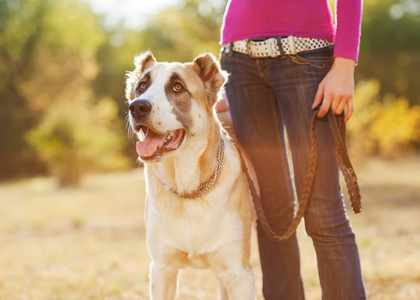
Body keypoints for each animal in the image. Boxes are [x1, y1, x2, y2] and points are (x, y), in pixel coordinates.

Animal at [124, 52, 256, 298]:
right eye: (142, 86)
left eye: (178, 87)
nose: (137, 107)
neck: (188, 191)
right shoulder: (161, 270)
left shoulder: (239, 274)